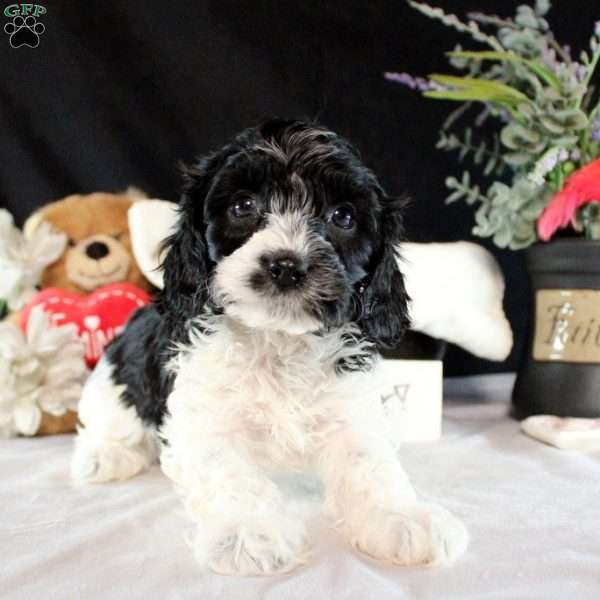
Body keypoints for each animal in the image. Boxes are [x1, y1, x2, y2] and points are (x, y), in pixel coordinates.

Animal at [71, 119, 468, 576]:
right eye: (243, 206)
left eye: (343, 216)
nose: (286, 266)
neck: (279, 338)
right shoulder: (203, 415)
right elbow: (229, 471)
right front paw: (248, 531)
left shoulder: (349, 408)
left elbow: (370, 464)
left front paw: (401, 517)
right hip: (115, 375)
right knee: (112, 413)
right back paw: (104, 455)